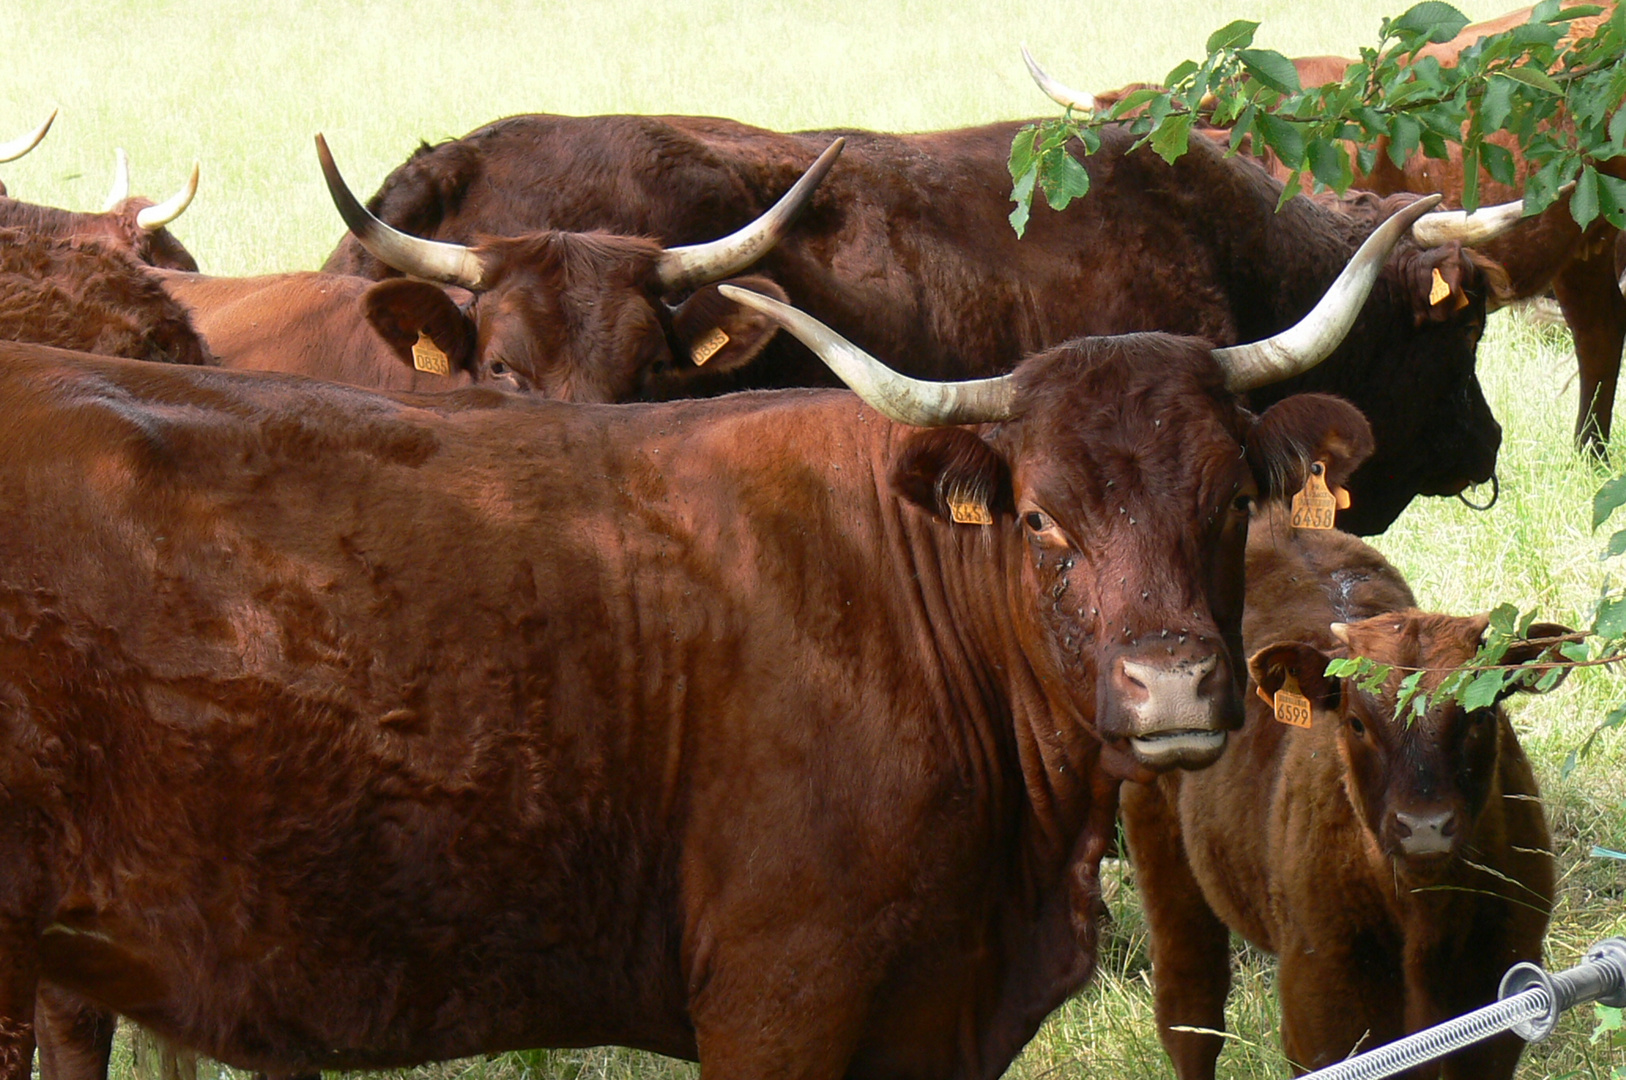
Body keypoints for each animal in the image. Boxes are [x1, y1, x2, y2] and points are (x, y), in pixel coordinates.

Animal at [1125, 507, 1554, 1080]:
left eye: (1481, 715)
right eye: (1356, 722)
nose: (1424, 826)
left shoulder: (1502, 989)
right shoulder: (1324, 1007)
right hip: (1164, 861)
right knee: (1190, 1010)